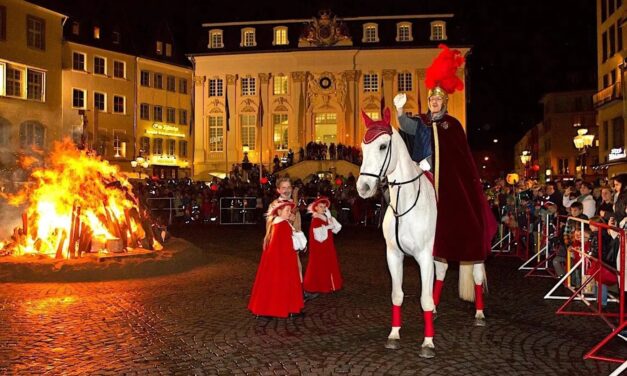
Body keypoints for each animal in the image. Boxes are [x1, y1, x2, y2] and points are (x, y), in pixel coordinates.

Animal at [356, 108, 440, 358]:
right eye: (362, 147)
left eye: (383, 146)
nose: (363, 188)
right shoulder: (393, 255)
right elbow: (397, 295)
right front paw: (394, 335)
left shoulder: (425, 257)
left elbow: (424, 299)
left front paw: (428, 342)